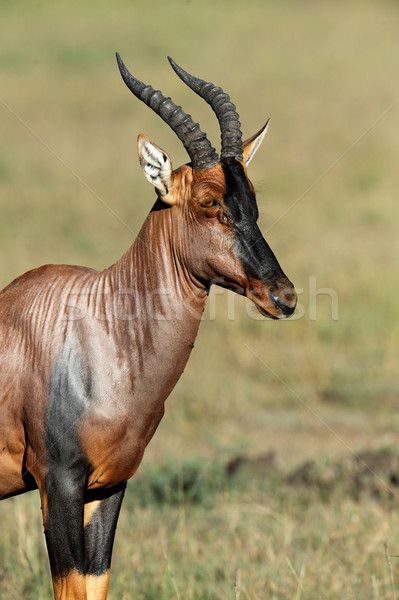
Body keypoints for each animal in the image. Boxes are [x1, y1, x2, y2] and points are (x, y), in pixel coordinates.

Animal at [0, 54, 296, 596]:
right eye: (208, 201)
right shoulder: (59, 483)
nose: (283, 297)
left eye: (252, 199)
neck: (102, 327)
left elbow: (94, 582)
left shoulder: (110, 486)